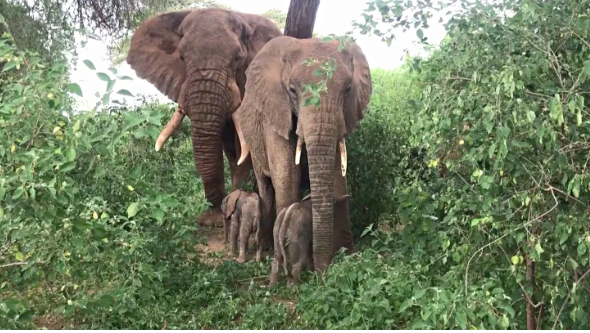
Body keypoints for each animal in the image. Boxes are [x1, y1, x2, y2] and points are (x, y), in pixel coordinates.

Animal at [234, 36, 372, 272]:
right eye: (292, 90)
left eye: (348, 89)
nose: (321, 271)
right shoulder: (275, 114)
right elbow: (287, 177)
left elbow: (337, 176)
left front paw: (346, 255)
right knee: (265, 187)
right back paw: (265, 248)